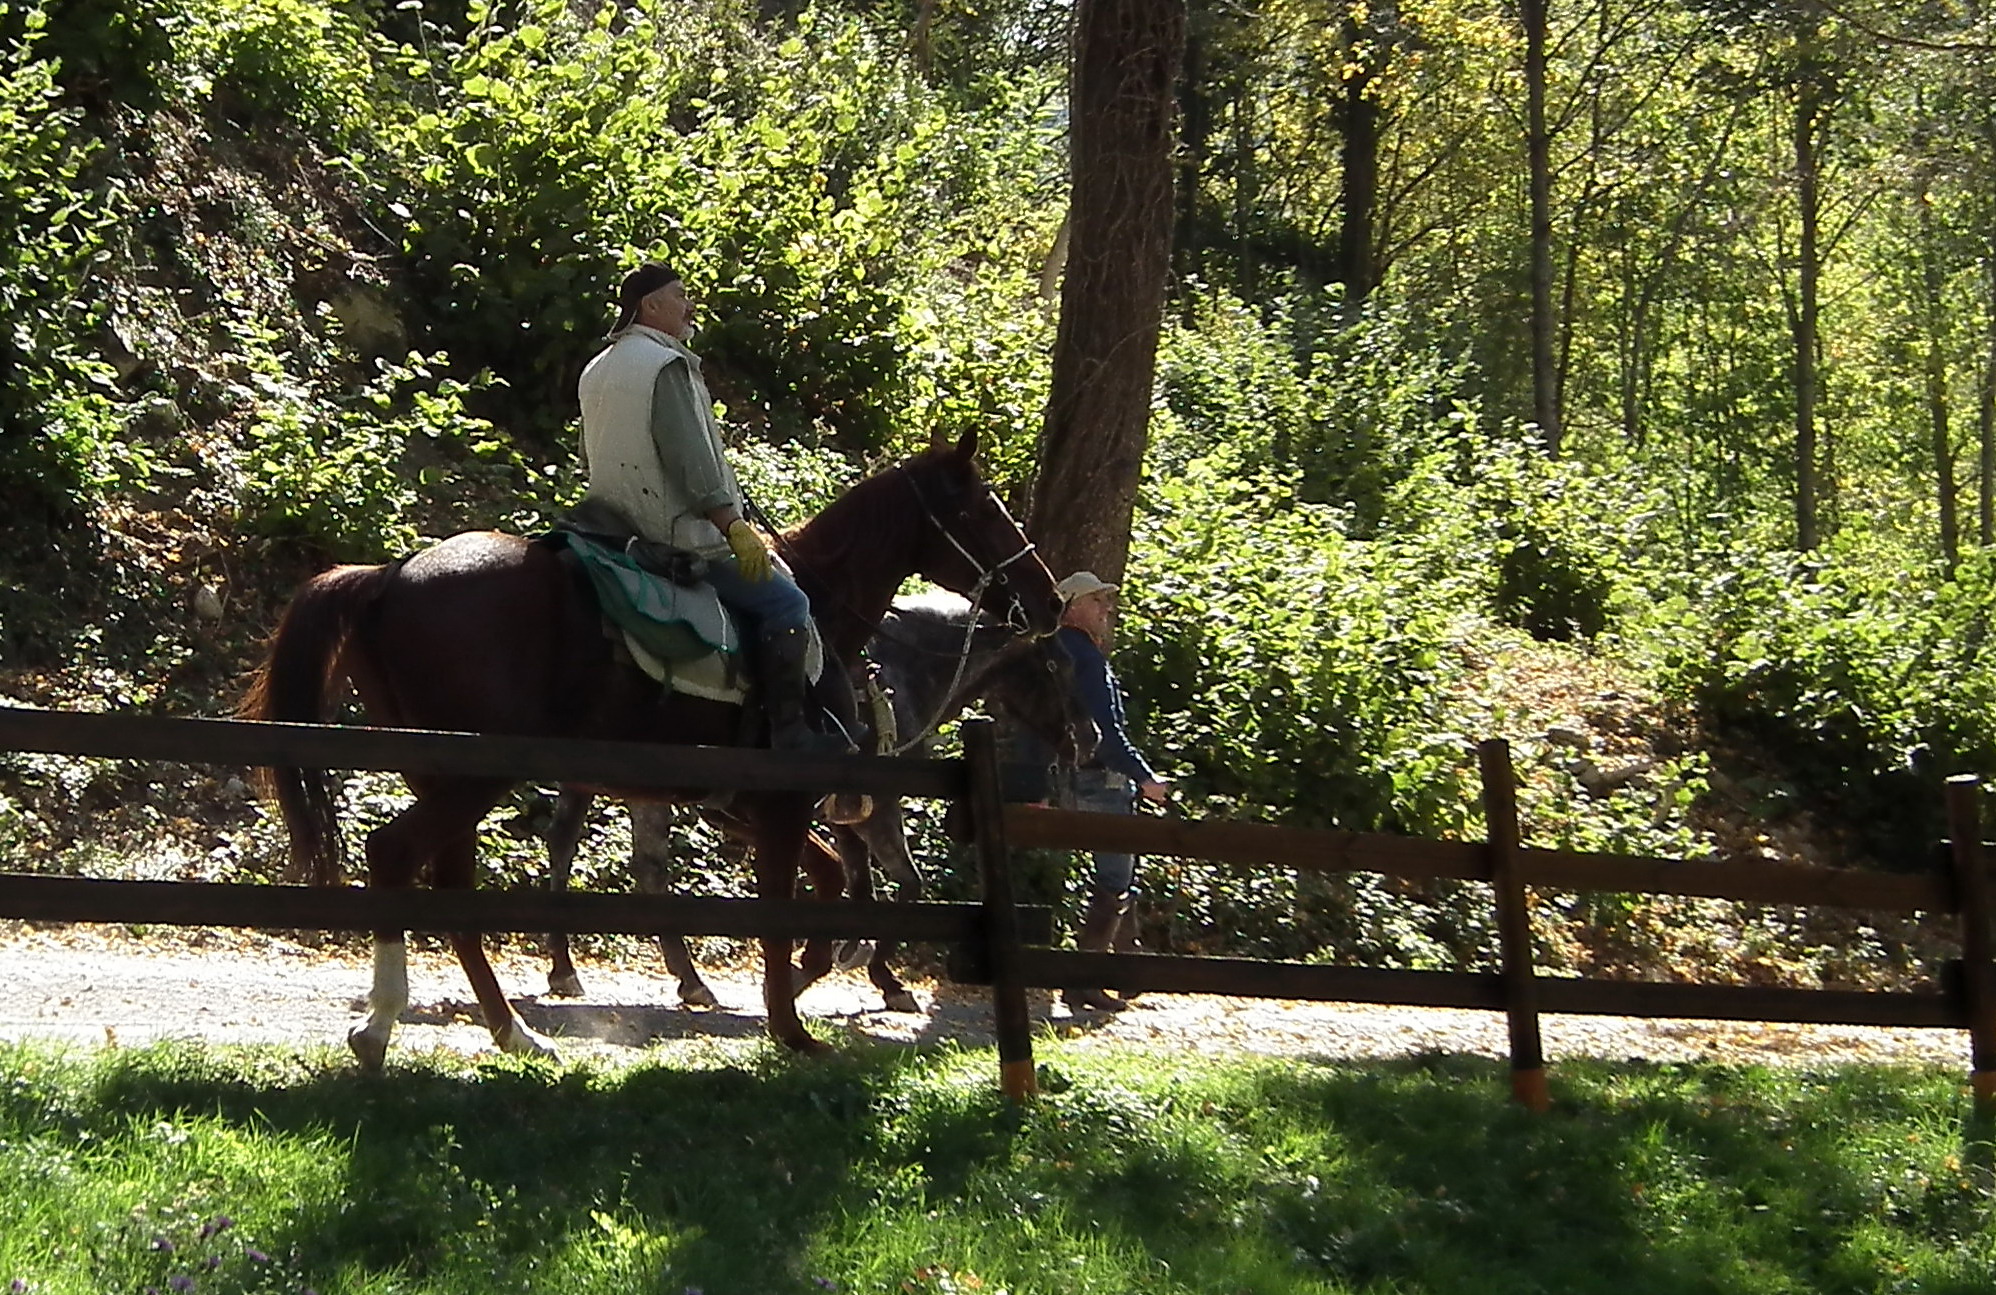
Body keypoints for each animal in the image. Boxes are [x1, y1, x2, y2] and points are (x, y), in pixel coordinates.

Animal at [539, 592, 1099, 1012]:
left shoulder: (847, 819)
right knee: (596, 855)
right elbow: (905, 883)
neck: (901, 675)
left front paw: (861, 964)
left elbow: (864, 887)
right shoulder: (878, 812)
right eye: (1059, 664)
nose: (1090, 737)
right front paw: (865, 969)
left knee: (611, 857)